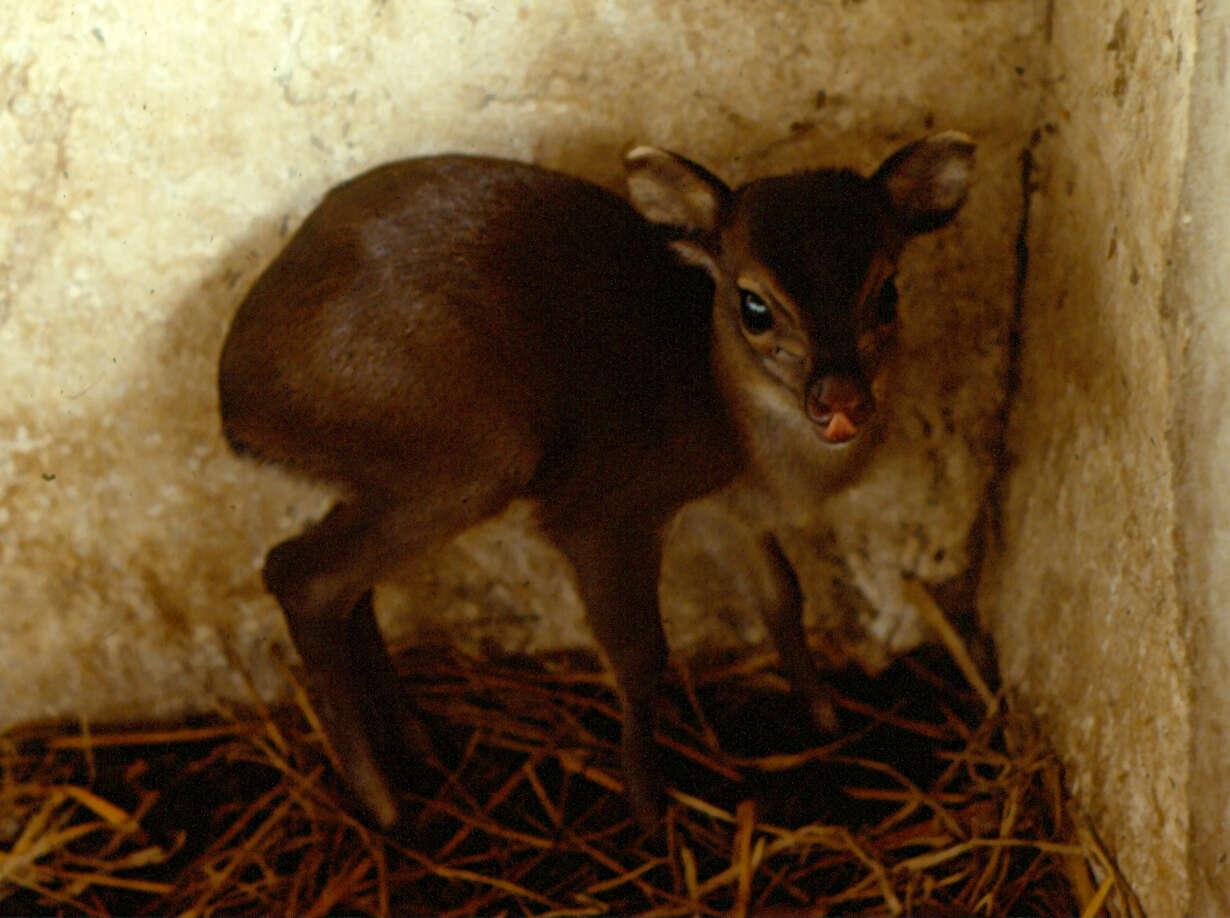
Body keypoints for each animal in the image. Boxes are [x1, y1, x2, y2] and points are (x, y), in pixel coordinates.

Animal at [216, 132, 974, 826]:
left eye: (888, 291)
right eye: (754, 305)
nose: (840, 400)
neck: (726, 418)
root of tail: (237, 401)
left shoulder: (723, 506)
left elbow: (782, 597)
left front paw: (825, 719)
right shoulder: (604, 508)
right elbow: (640, 654)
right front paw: (647, 806)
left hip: (386, 475)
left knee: (349, 587)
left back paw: (418, 743)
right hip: (471, 455)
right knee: (301, 574)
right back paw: (384, 803)